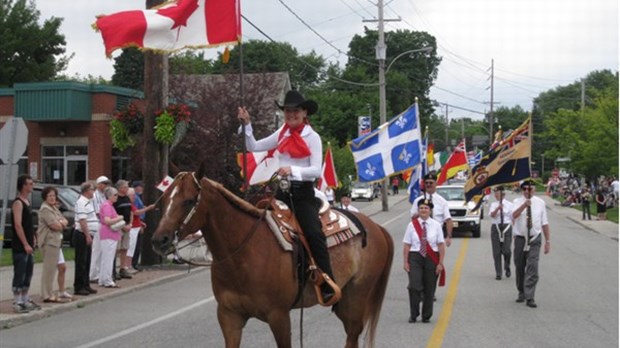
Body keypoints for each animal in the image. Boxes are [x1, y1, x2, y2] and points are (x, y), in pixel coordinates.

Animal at [151, 167, 392, 346]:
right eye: (162, 201)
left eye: (189, 201)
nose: (159, 240)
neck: (242, 255)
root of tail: (375, 227)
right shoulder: (229, 317)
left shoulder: (279, 317)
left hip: (357, 296)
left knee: (353, 334)